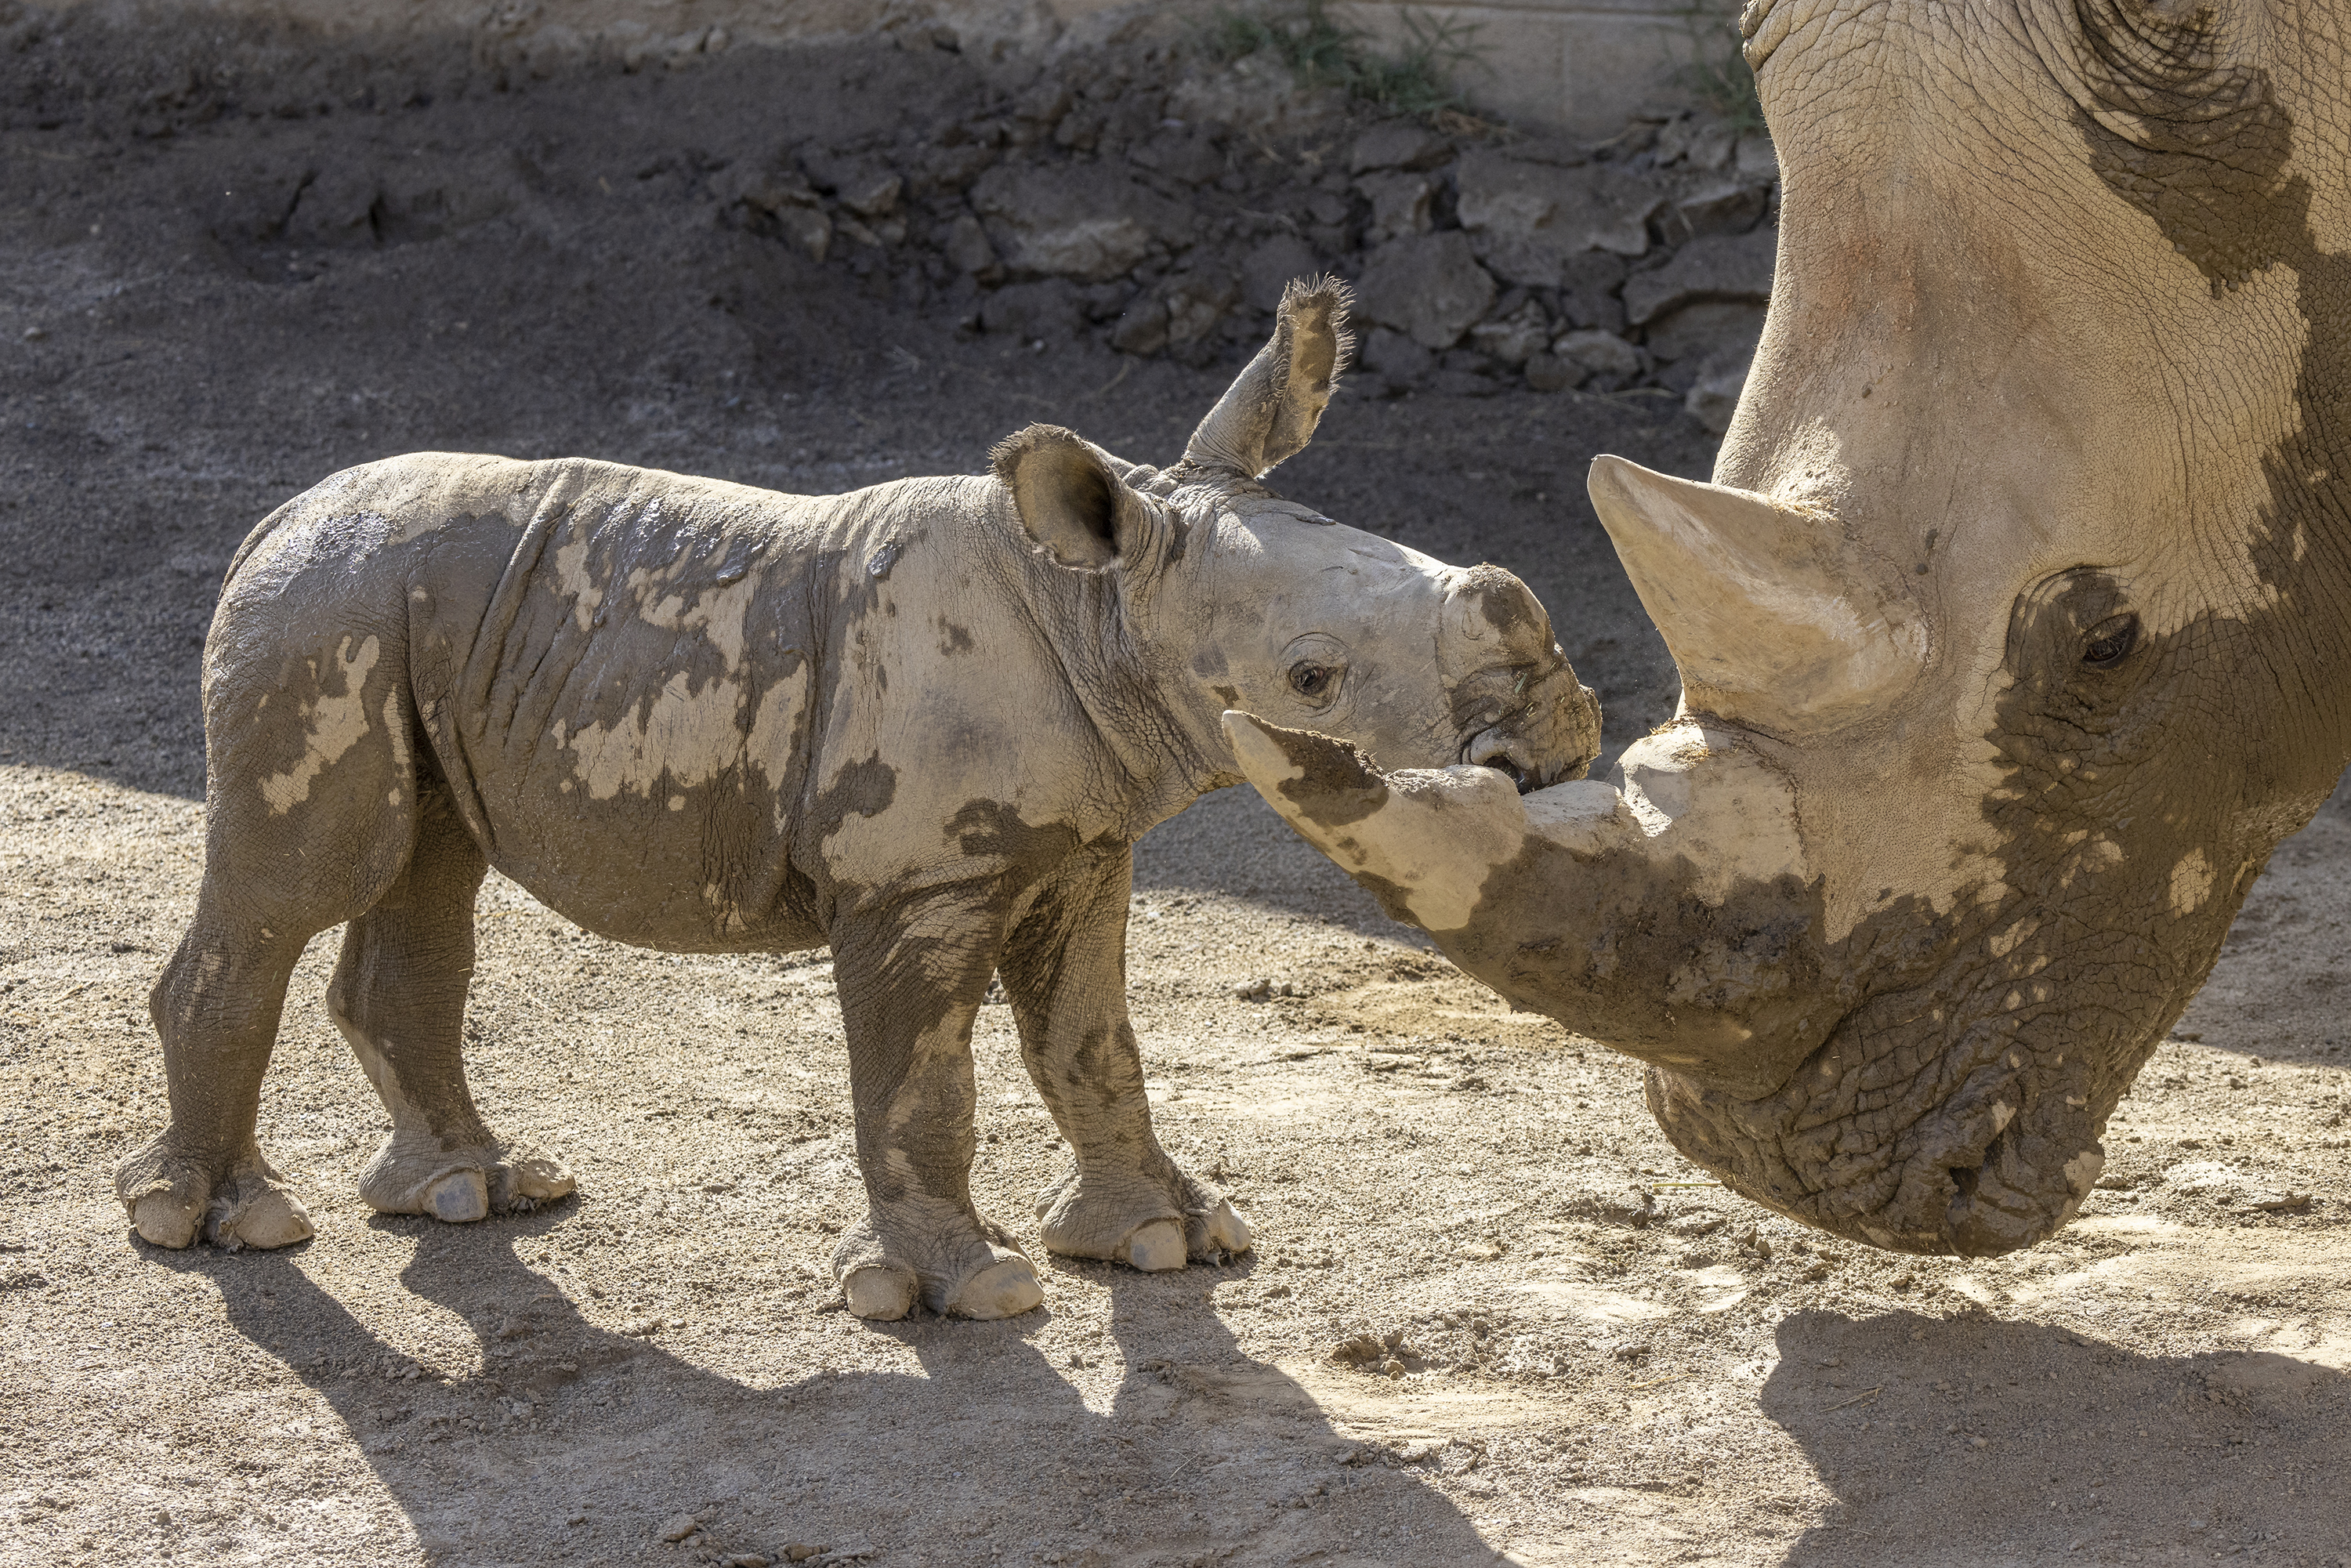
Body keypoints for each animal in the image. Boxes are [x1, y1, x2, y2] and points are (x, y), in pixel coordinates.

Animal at [113, 280, 1600, 1319]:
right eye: (1312, 677)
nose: (1557, 726)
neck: (1102, 601)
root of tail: (271, 518)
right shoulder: (913, 877)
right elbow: (922, 1078)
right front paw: (969, 1293)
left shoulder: (1082, 846)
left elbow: (1094, 1040)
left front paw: (1167, 1241)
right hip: (325, 610)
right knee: (302, 882)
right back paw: (221, 1226)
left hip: (413, 612)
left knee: (427, 867)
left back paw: (474, 1192)